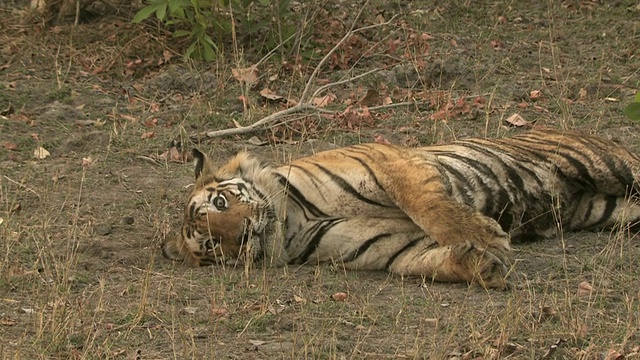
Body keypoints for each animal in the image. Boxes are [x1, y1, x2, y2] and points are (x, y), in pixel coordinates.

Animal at [164, 128, 640, 288]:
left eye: (221, 201)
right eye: (211, 245)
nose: (242, 234)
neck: (292, 222)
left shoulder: (387, 162)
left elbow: (429, 206)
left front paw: (485, 237)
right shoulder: (389, 247)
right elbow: (428, 262)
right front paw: (481, 264)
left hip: (614, 168)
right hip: (607, 210)